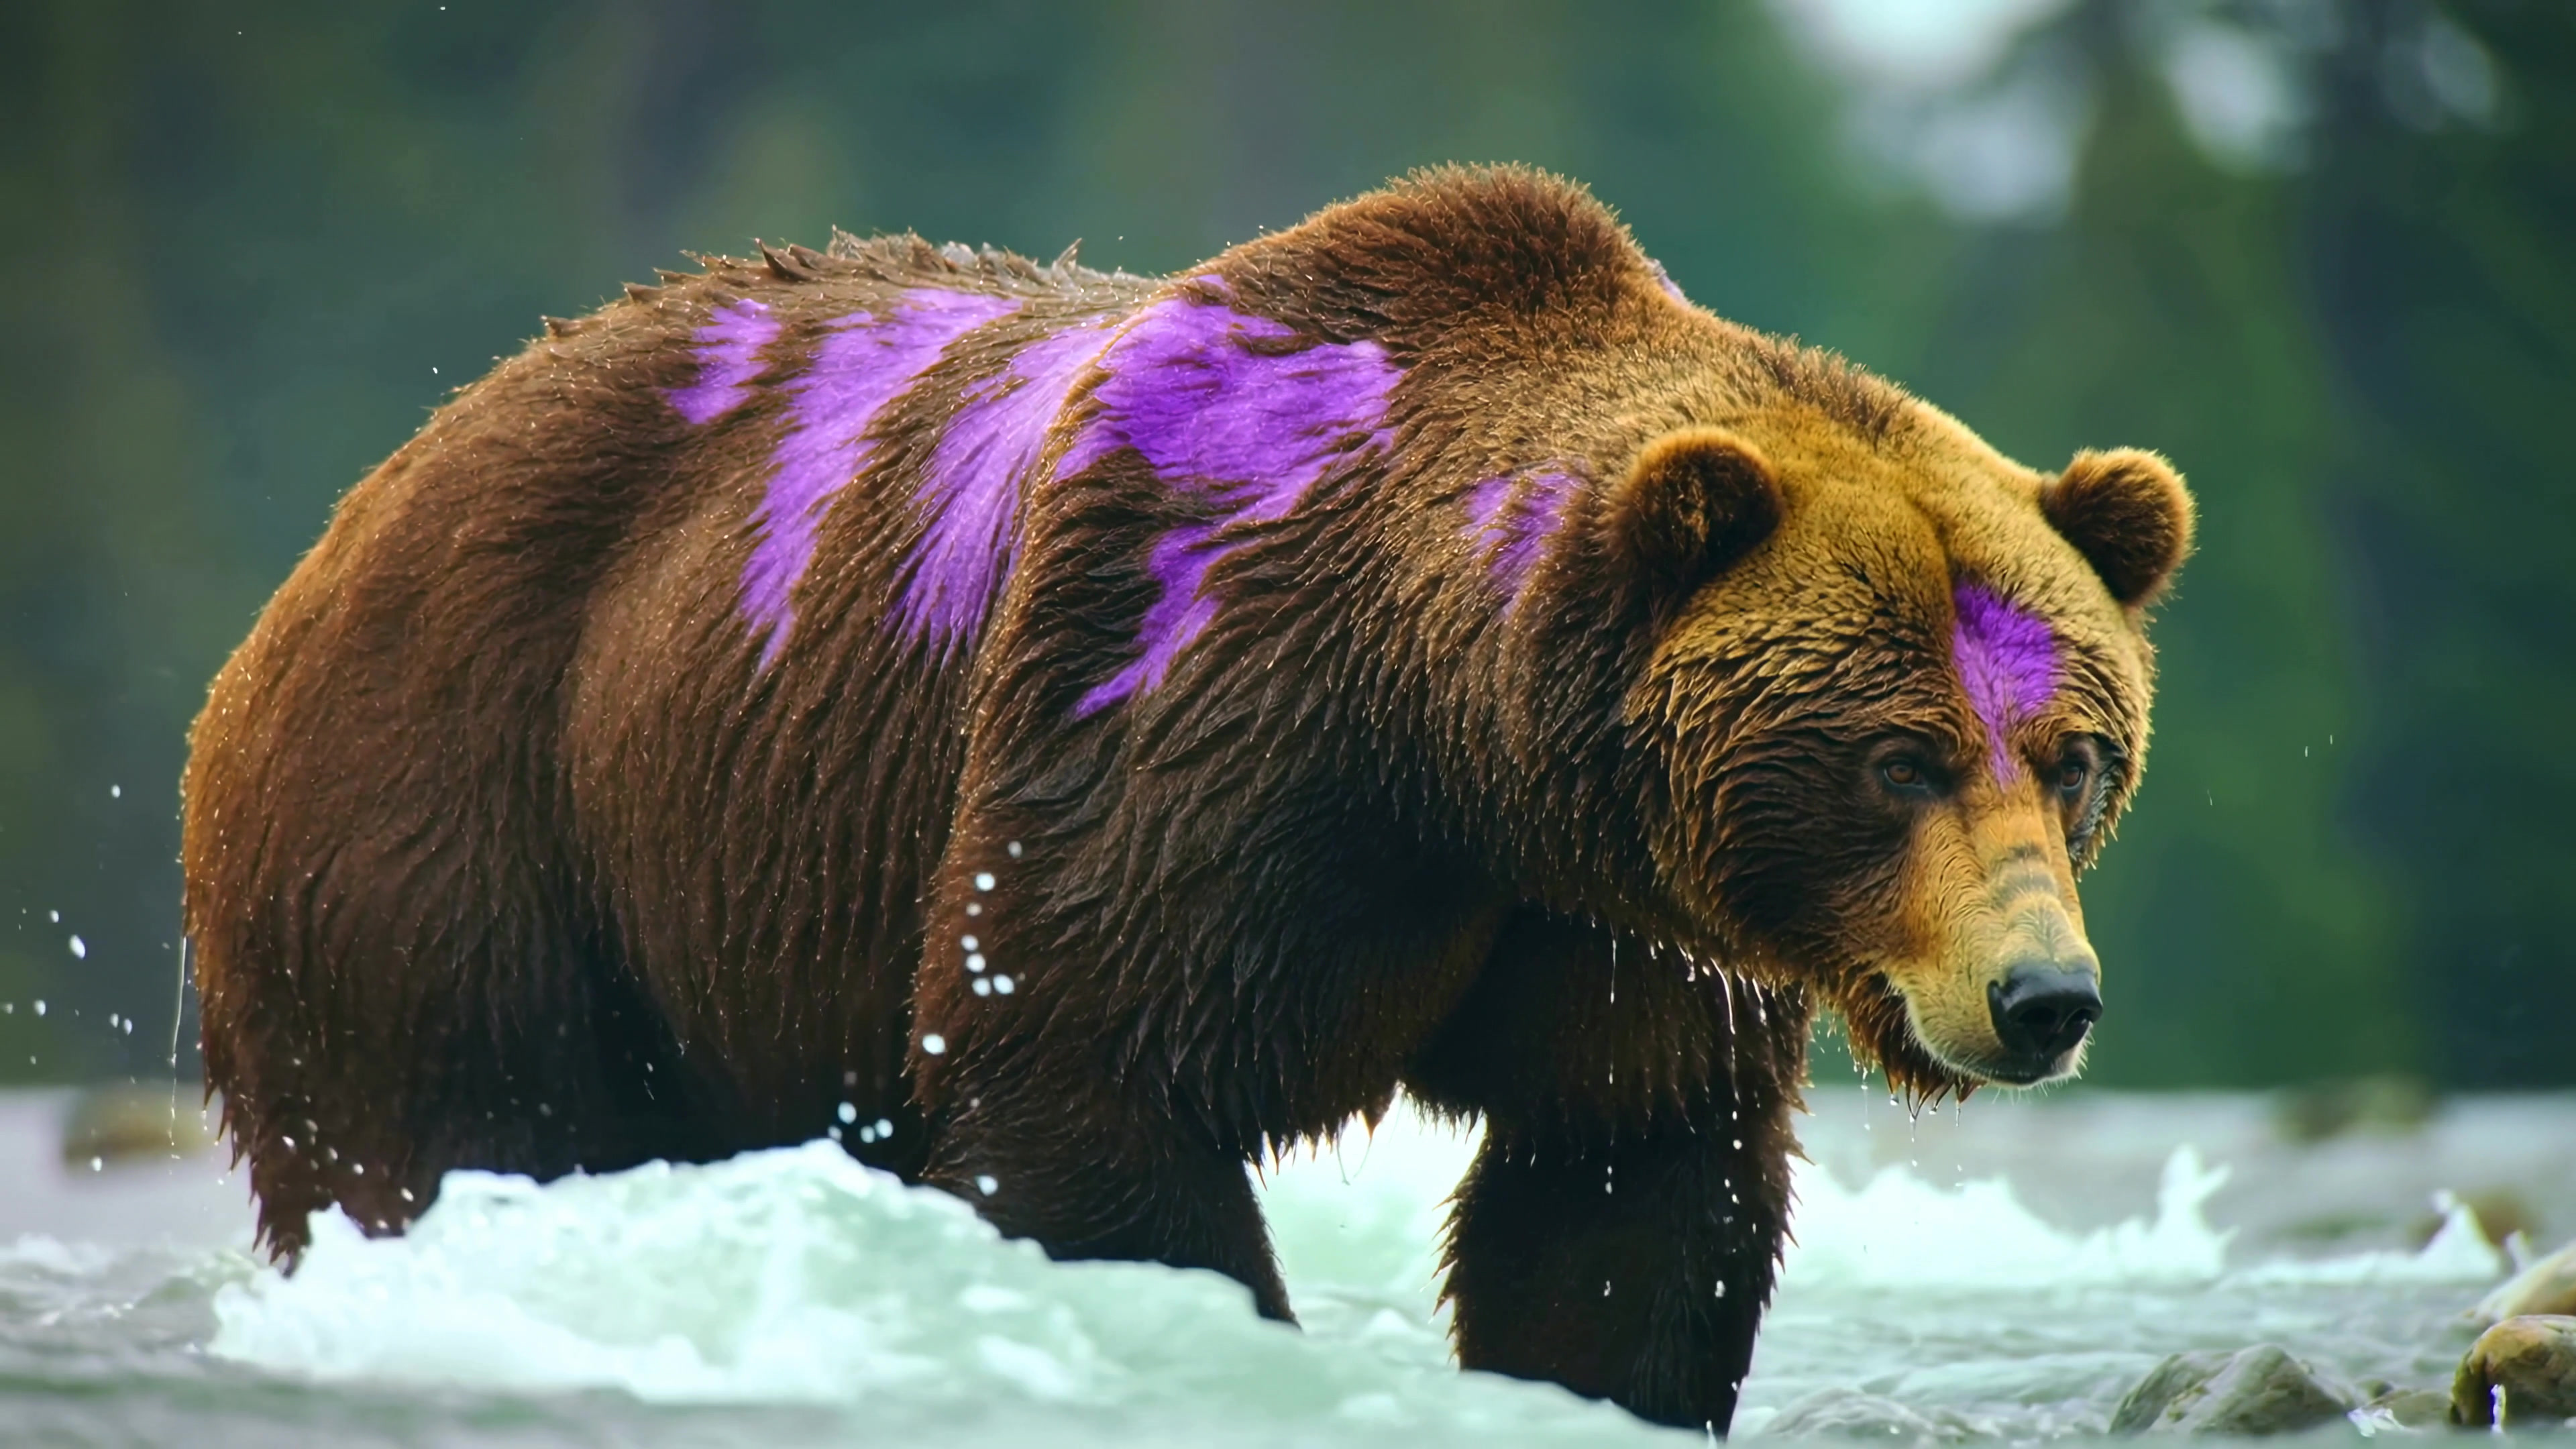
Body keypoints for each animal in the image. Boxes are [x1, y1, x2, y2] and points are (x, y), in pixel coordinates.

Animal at [181, 165, 2191, 1433]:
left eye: (2072, 753)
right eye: (1894, 754)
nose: (2040, 997)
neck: (1439, 736)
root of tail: (351, 514)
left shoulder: (1605, 920)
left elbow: (1622, 1184)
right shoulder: (1171, 712)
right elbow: (1088, 1086)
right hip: (463, 807)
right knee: (449, 1132)